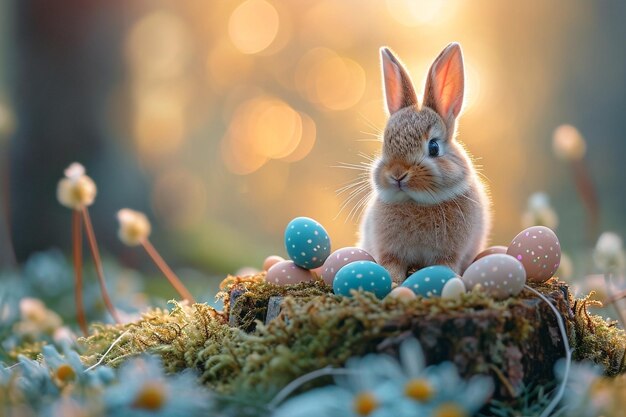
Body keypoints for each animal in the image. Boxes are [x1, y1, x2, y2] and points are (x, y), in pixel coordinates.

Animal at [358, 42, 490, 282]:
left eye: (434, 147)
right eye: (385, 144)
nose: (397, 174)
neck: (416, 202)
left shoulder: (450, 254)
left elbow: (445, 266)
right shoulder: (390, 252)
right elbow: (391, 265)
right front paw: (393, 281)